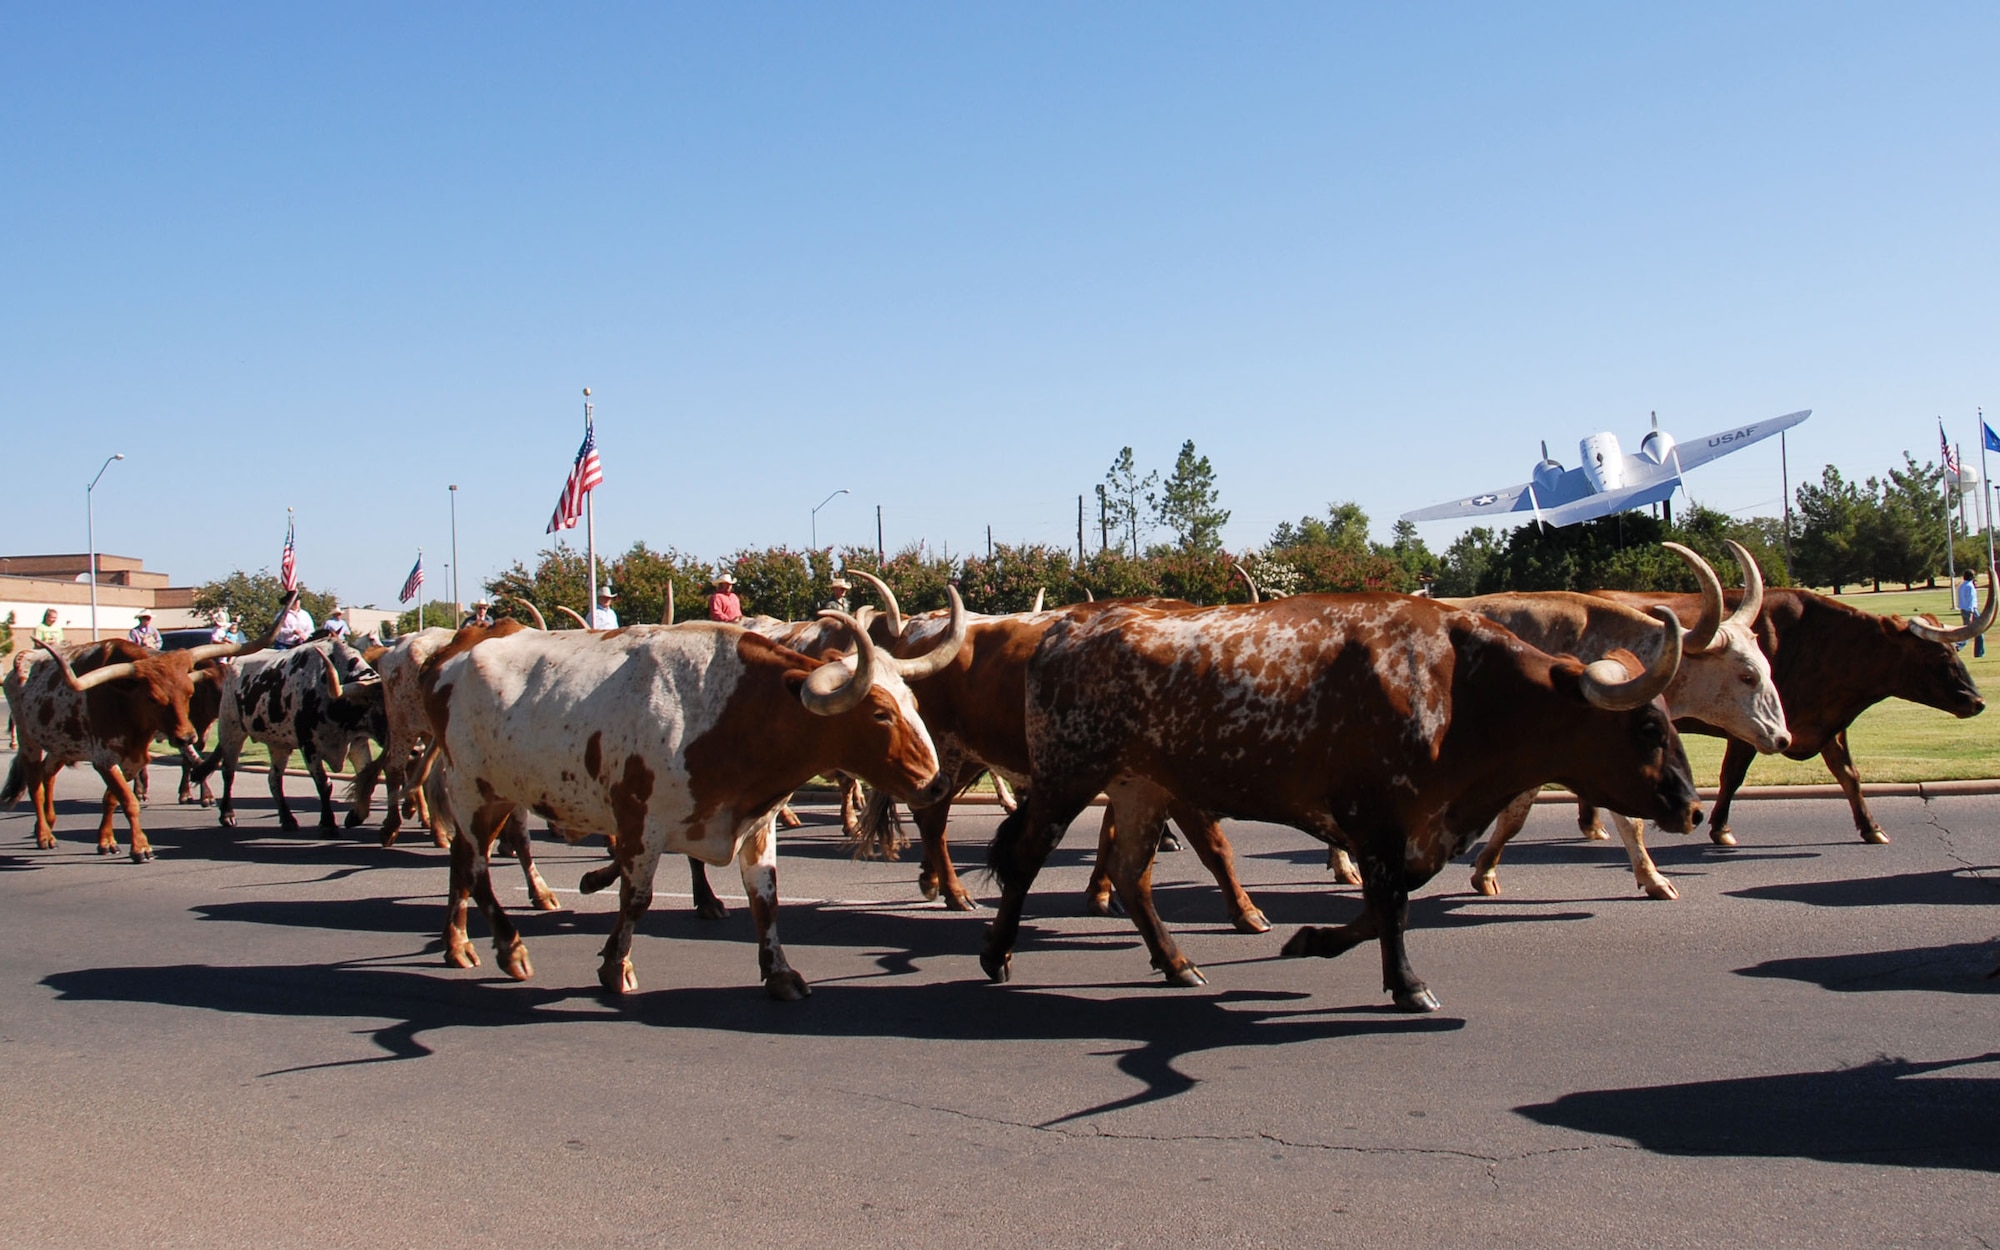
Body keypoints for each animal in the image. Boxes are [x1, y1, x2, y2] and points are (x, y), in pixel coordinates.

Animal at [197, 640, 392, 832]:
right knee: (228, 772)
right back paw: (227, 815)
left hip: (278, 744)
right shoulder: (309, 746)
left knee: (274, 779)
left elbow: (366, 777)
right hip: (231, 730)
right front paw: (328, 822)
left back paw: (287, 818)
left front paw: (356, 816)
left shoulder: (358, 743)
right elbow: (324, 783)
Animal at [976, 588, 1696, 1008]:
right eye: (1648, 727)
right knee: (1027, 859)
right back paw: (997, 954)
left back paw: (1177, 964)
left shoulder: (1415, 824)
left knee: (1130, 876)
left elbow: (1390, 898)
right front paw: (1407, 984)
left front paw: (1313, 940)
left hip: (1140, 787)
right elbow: (1393, 900)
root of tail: (1066, 627)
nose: (1689, 806)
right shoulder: (1375, 814)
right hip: (1068, 776)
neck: (1454, 680)